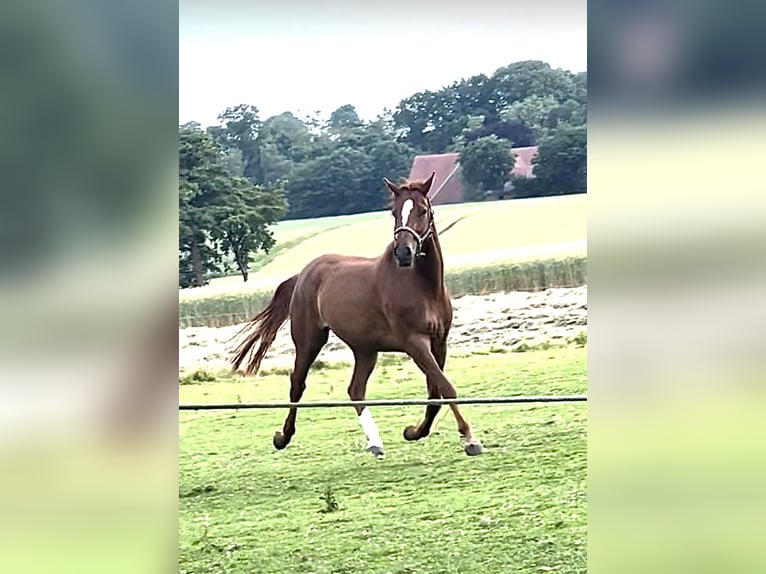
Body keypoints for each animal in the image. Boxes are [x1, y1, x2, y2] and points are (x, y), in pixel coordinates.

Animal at [230, 172, 483, 458]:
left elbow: (435, 392)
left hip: (365, 349)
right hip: (309, 340)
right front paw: (469, 439)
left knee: (355, 389)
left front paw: (414, 432)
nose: (403, 253)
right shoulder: (414, 343)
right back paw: (283, 437)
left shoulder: (439, 343)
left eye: (422, 210)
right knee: (298, 383)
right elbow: (444, 386)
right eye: (395, 211)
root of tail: (304, 273)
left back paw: (375, 443)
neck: (423, 287)